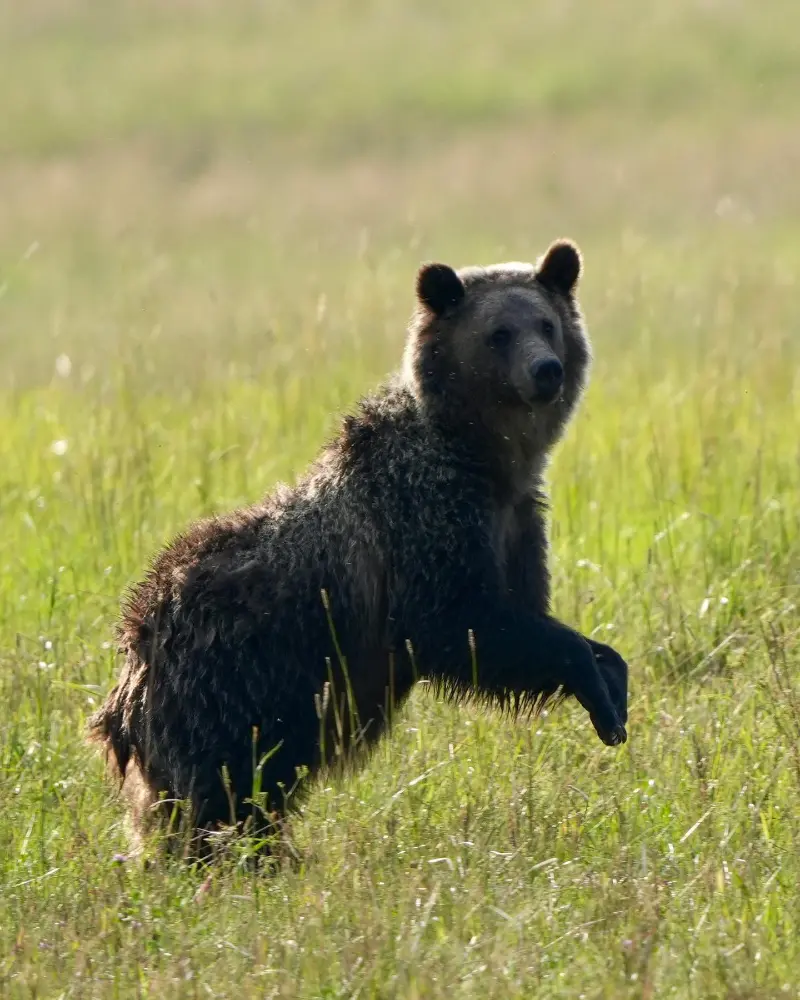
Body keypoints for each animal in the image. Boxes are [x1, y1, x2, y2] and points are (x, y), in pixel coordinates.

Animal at [90, 238, 628, 856]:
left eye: (546, 323)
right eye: (499, 333)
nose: (546, 370)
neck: (486, 460)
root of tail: (134, 654)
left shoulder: (514, 524)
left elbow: (523, 619)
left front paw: (612, 684)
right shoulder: (426, 523)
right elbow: (471, 626)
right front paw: (597, 684)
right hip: (237, 686)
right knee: (221, 791)